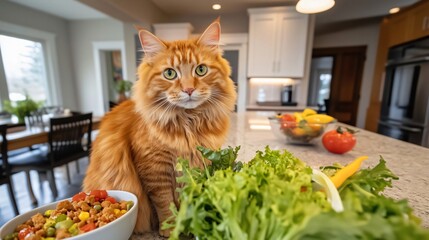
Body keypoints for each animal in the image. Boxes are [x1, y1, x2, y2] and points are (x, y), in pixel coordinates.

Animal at [82, 19, 236, 237]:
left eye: (201, 70)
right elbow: (164, 203)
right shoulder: (154, 169)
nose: (189, 89)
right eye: (170, 73)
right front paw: (171, 228)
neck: (188, 122)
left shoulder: (196, 165)